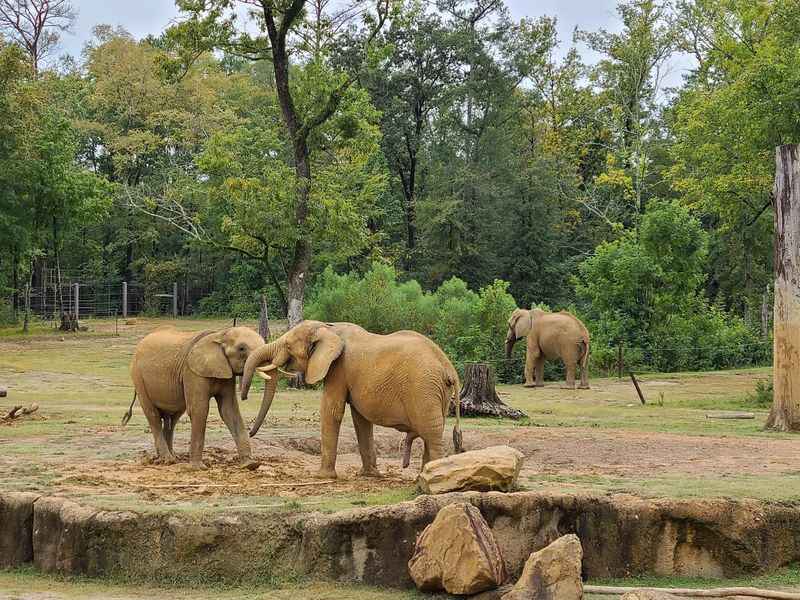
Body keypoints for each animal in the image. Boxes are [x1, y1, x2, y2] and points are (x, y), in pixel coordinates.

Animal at [128, 326, 266, 472]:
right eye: (241, 348)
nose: (244, 397)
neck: (219, 334)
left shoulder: (226, 372)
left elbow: (229, 410)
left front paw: (250, 464)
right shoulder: (192, 372)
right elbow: (199, 410)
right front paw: (198, 468)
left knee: (172, 418)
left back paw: (169, 458)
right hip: (138, 377)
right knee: (153, 415)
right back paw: (168, 460)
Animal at [239, 322, 462, 480]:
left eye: (287, 345)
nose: (244, 396)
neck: (328, 328)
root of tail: (449, 368)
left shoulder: (338, 368)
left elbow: (332, 410)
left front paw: (322, 477)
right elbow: (360, 419)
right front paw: (368, 475)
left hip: (424, 389)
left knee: (431, 433)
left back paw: (428, 480)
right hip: (436, 393)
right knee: (432, 431)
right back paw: (421, 478)